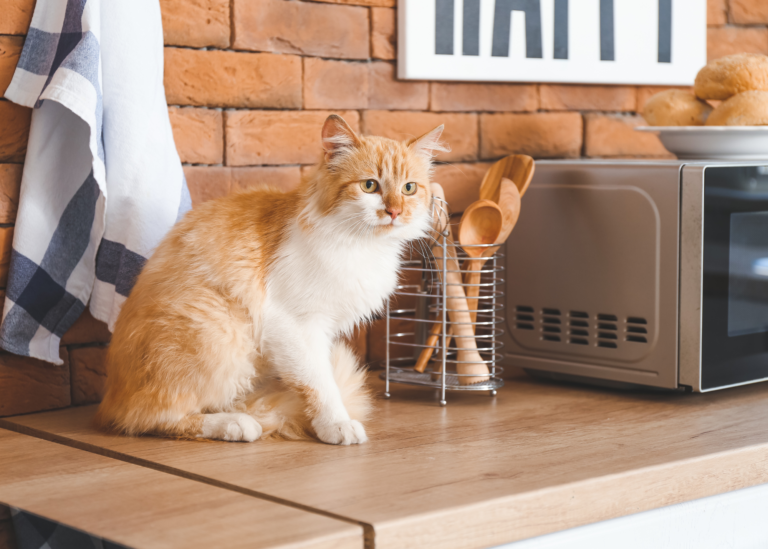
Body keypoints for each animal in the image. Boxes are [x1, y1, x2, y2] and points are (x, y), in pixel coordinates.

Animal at [94, 115, 448, 446]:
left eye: (409, 188)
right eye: (370, 186)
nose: (394, 212)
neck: (361, 245)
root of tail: (109, 397)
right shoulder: (295, 325)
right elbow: (321, 384)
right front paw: (335, 424)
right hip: (221, 328)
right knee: (149, 416)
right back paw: (236, 423)